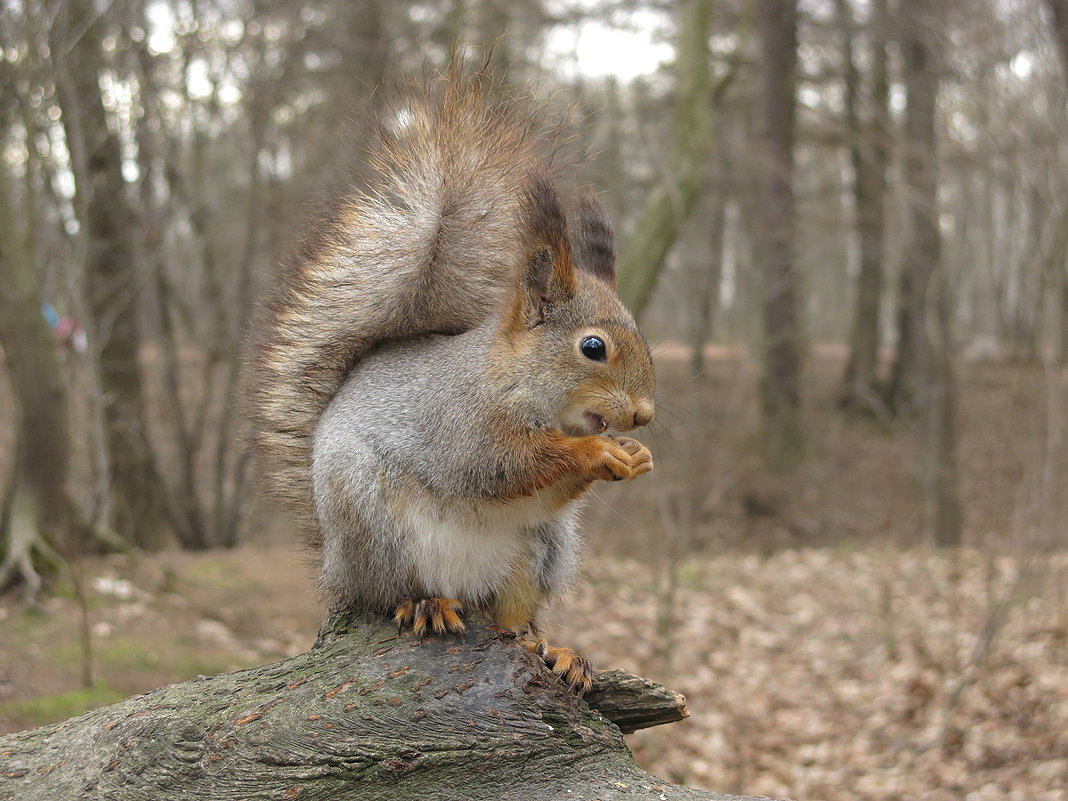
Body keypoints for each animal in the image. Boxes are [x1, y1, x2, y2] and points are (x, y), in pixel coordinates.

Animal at [248, 70, 649, 696]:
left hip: (541, 550)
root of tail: (334, 568)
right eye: (593, 347)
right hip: (371, 521)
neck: (510, 380)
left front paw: (633, 456)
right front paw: (596, 451)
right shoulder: (461, 426)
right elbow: (503, 465)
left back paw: (551, 648)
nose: (644, 414)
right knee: (389, 591)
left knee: (513, 616)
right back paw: (425, 603)